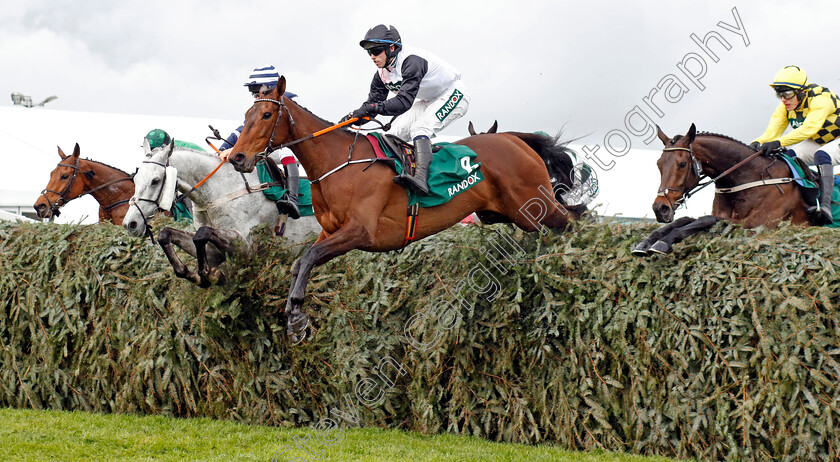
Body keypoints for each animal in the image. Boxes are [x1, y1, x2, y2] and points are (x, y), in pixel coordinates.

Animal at [226, 76, 588, 342]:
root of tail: (514, 138)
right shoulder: (330, 231)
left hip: (533, 209)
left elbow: (308, 258)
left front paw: (297, 314)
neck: (337, 162)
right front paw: (295, 318)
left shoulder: (361, 232)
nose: (237, 157)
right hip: (509, 214)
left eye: (266, 115)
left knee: (576, 218)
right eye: (245, 117)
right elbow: (301, 263)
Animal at [632, 122, 812, 256]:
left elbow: (706, 219)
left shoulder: (761, 225)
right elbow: (685, 220)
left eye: (682, 164)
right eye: (659, 164)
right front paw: (646, 242)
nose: (660, 208)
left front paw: (664, 242)